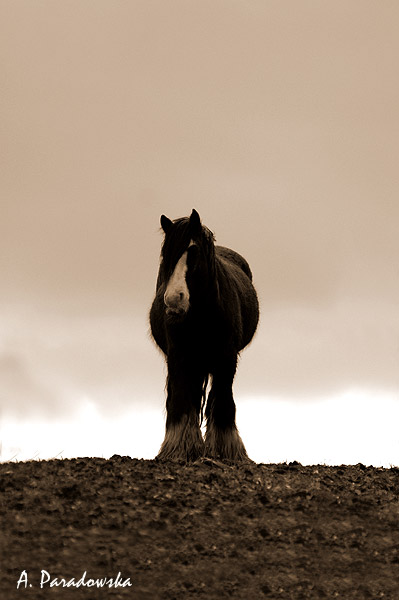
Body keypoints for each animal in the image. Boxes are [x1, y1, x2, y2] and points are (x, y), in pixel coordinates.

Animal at [150, 209, 260, 462]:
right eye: (166, 254)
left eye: (194, 250)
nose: (173, 299)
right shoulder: (179, 355)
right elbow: (181, 398)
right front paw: (179, 448)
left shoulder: (226, 357)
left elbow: (223, 399)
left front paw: (227, 449)